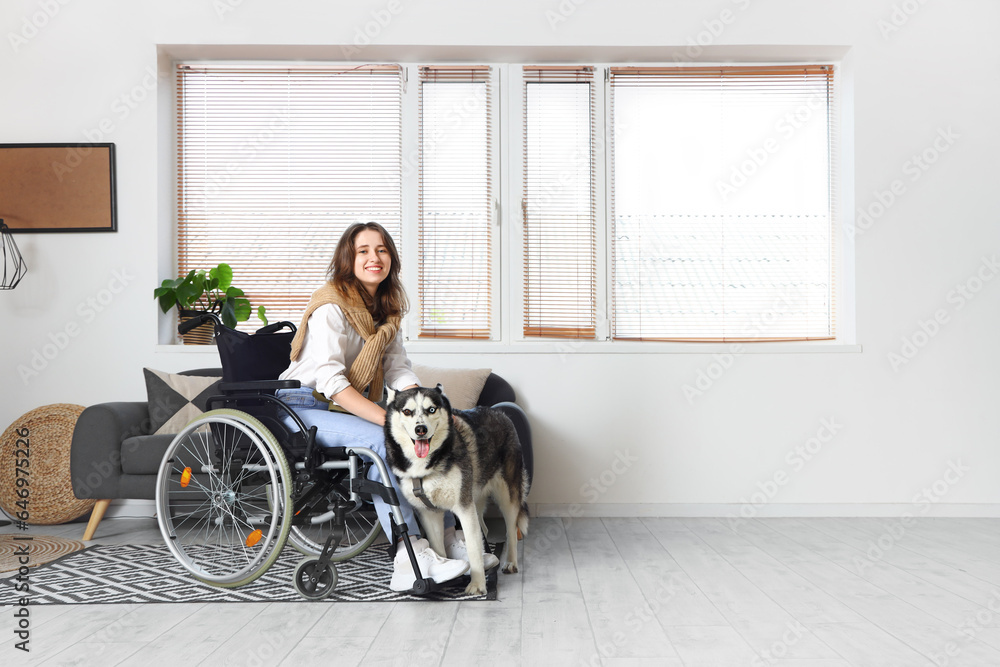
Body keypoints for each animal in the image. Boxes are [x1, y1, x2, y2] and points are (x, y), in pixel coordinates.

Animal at [382, 384, 532, 596]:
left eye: (431, 409)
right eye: (407, 411)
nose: (421, 429)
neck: (428, 465)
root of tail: (499, 412)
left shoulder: (464, 508)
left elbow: (473, 548)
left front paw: (477, 584)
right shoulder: (430, 513)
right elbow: (438, 547)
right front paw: (445, 573)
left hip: (506, 495)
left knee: (511, 528)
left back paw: (510, 562)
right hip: (476, 498)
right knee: (484, 528)